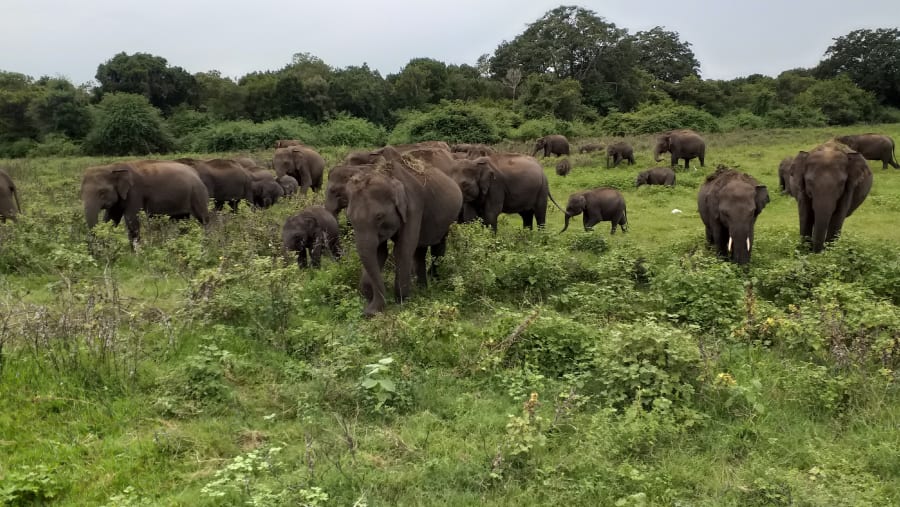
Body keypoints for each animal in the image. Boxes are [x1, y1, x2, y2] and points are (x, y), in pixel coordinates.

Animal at [80, 160, 209, 245]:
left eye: (102, 192)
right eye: (81, 192)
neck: (113, 167)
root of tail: (196, 172)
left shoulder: (135, 193)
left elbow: (132, 221)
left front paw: (135, 256)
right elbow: (111, 219)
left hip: (197, 193)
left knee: (203, 219)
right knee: (182, 221)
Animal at [346, 147, 463, 316]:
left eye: (379, 216)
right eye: (349, 217)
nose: (367, 312)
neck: (388, 175)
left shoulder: (414, 207)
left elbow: (402, 249)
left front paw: (402, 301)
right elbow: (380, 251)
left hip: (448, 217)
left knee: (438, 245)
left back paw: (434, 281)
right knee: (419, 251)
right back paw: (422, 288)